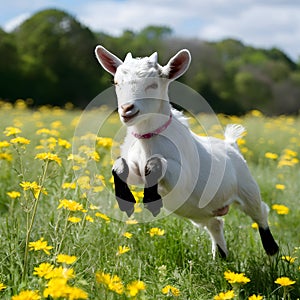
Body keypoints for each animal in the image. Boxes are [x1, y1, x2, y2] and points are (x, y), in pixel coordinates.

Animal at [94, 45, 278, 258]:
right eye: (116, 82)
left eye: (153, 84)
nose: (127, 110)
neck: (148, 141)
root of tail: (231, 145)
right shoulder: (135, 171)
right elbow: (119, 165)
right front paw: (127, 202)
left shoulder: (183, 179)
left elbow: (156, 162)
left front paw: (152, 202)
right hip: (201, 212)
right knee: (216, 223)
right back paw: (221, 257)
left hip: (247, 188)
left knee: (260, 212)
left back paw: (272, 249)